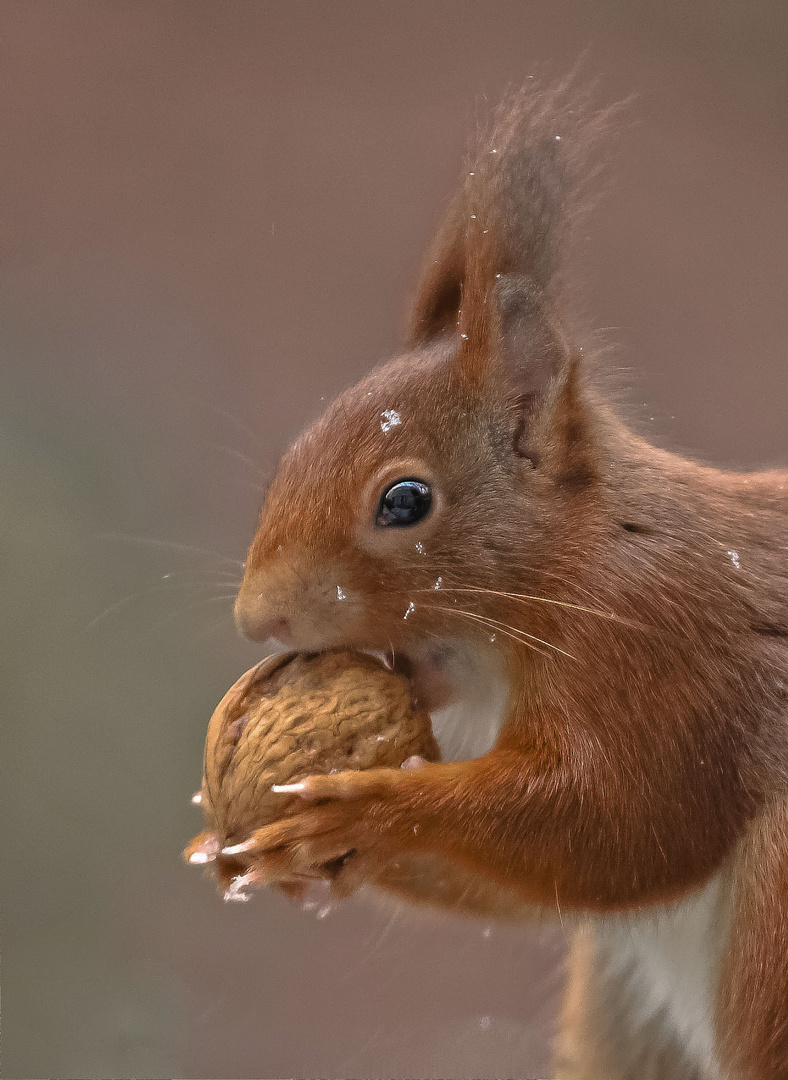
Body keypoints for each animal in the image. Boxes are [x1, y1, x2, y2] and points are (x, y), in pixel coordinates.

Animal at [226, 78, 785, 1080]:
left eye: (405, 501)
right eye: (293, 455)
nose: (261, 620)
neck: (572, 567)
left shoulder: (664, 658)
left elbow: (619, 828)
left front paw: (375, 811)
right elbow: (543, 889)